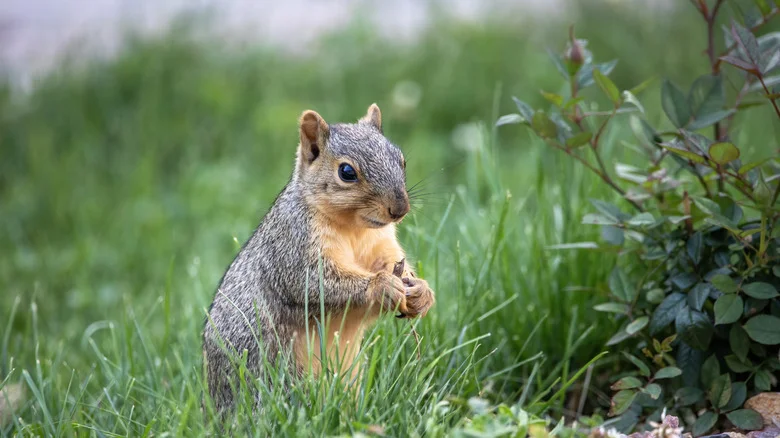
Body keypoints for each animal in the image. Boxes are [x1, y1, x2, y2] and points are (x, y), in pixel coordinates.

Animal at [202, 103, 436, 413]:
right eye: (346, 172)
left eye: (402, 160)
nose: (400, 209)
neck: (354, 228)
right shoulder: (292, 246)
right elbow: (314, 283)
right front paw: (382, 286)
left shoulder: (381, 245)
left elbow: (390, 263)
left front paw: (421, 291)